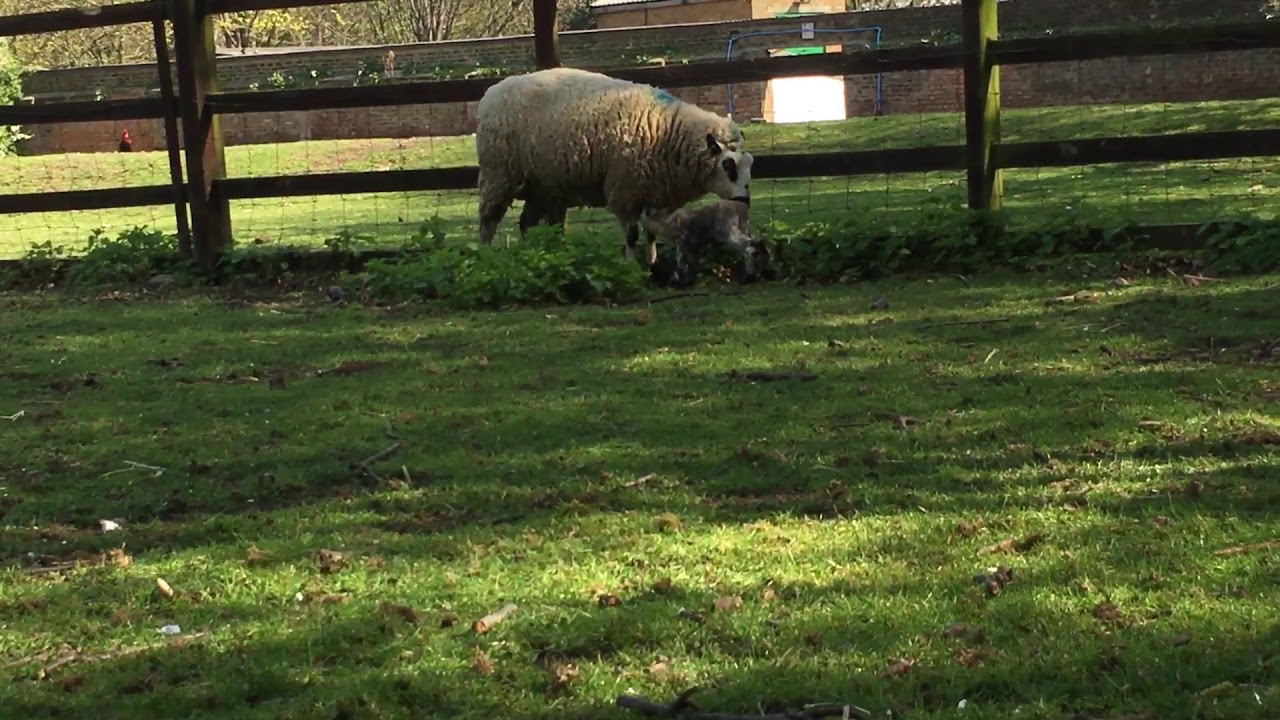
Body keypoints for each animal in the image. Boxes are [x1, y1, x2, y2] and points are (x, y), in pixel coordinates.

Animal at [473, 66, 754, 268]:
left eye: (749, 167)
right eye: (728, 166)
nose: (744, 201)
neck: (667, 131)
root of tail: (491, 91)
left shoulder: (651, 192)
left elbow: (650, 233)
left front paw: (652, 262)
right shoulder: (625, 190)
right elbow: (632, 235)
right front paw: (631, 265)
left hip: (540, 185)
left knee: (526, 223)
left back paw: (534, 253)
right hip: (499, 175)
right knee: (488, 221)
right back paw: (487, 255)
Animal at [637, 199, 766, 287]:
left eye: (642, 213)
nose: (637, 216)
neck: (664, 223)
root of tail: (741, 207)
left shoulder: (683, 241)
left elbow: (681, 262)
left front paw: (679, 282)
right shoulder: (695, 244)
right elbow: (692, 263)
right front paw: (688, 281)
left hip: (727, 232)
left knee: (749, 247)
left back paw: (748, 277)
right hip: (744, 227)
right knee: (757, 243)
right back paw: (763, 271)